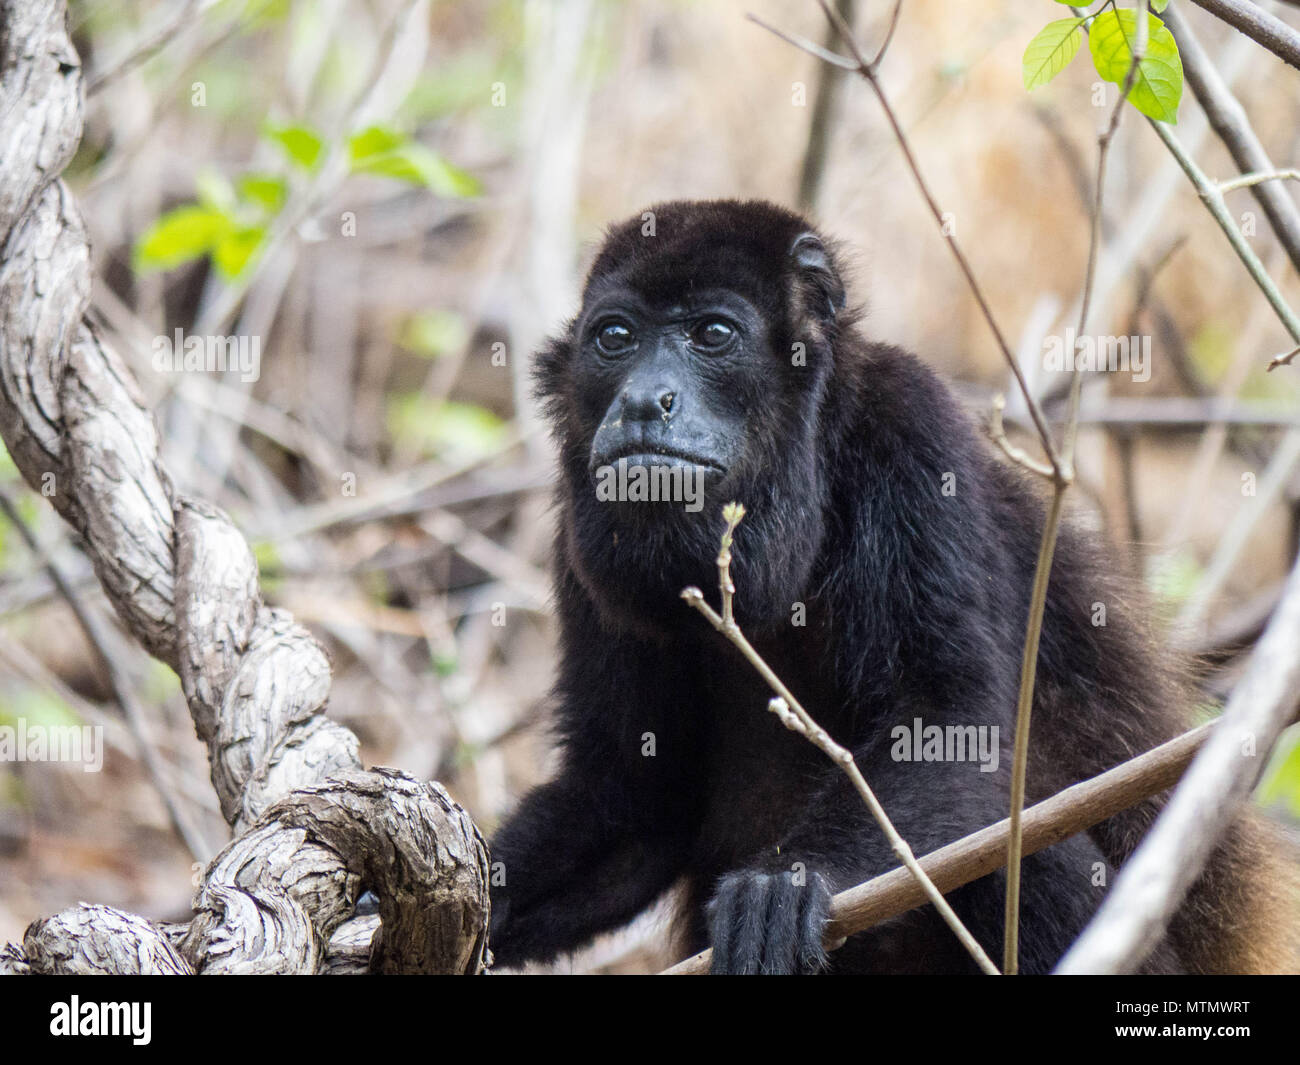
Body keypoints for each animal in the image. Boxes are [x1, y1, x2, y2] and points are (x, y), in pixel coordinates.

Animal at [486, 199, 1295, 974]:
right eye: (615, 337)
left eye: (713, 333)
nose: (642, 401)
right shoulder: (575, 544)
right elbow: (635, 799)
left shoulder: (911, 426)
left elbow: (948, 716)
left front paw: (787, 883)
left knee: (1012, 849)